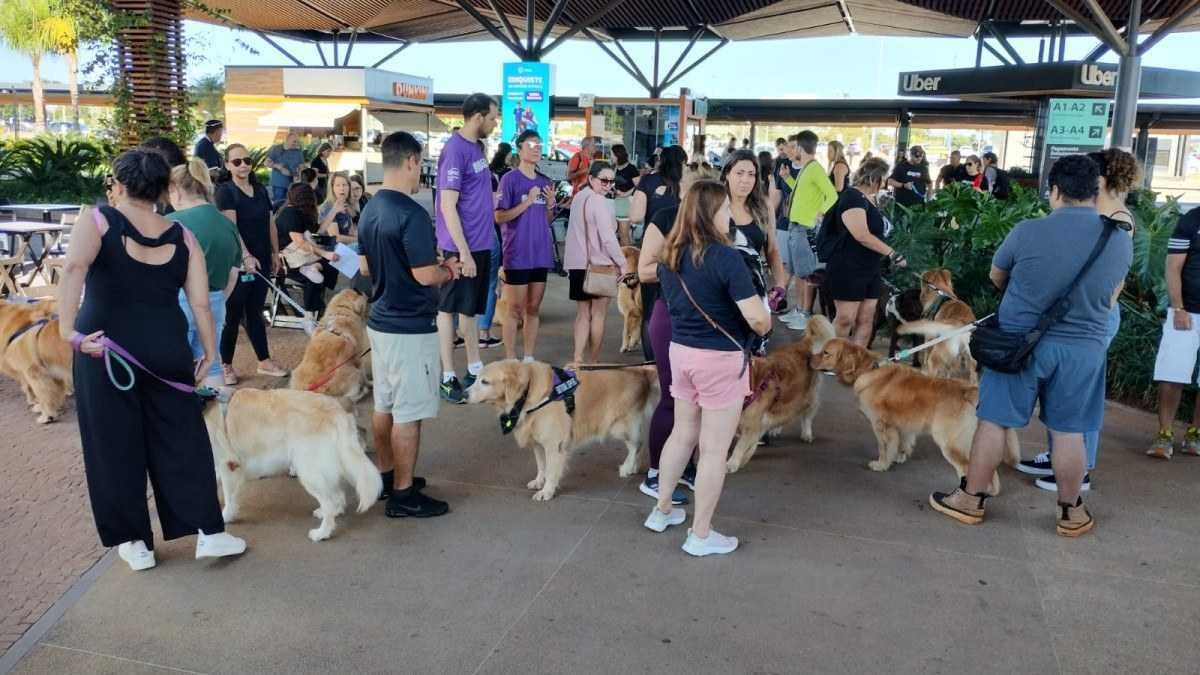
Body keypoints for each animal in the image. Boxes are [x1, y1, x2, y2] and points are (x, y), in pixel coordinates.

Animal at [201, 386, 379, 538]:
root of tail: (337, 411)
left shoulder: (228, 466)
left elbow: (229, 498)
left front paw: (225, 517)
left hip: (309, 472)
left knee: (330, 502)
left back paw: (321, 533)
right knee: (338, 495)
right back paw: (330, 513)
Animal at [465, 357, 657, 499]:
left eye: (485, 382)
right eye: (476, 379)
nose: (463, 394)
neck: (528, 393)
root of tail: (641, 371)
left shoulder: (553, 444)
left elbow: (551, 470)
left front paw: (547, 491)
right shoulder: (538, 443)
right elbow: (541, 465)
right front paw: (539, 481)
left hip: (618, 425)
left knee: (637, 444)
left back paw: (627, 467)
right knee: (639, 443)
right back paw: (633, 466)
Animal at [724, 312, 840, 470]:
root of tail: (802, 345)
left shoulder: (751, 423)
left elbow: (741, 446)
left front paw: (733, 463)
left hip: (806, 396)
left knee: (806, 415)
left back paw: (806, 433)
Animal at [811, 338, 1017, 492]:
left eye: (826, 353)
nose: (809, 359)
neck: (867, 369)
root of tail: (968, 389)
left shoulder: (881, 425)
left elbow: (884, 448)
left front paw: (882, 465)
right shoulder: (903, 425)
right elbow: (903, 442)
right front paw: (900, 456)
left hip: (949, 441)